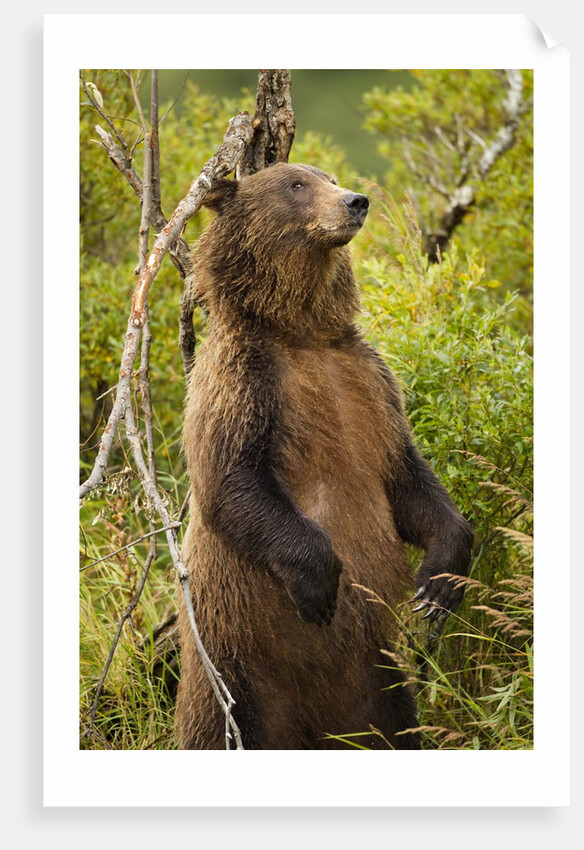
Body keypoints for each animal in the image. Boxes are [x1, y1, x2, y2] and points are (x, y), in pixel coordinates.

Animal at [176, 162, 473, 750]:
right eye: (295, 184)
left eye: (329, 177)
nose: (356, 201)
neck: (301, 331)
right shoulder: (243, 381)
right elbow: (232, 479)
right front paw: (319, 583)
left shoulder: (370, 385)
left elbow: (407, 478)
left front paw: (436, 586)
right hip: (235, 671)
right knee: (217, 726)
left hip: (375, 682)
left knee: (398, 724)